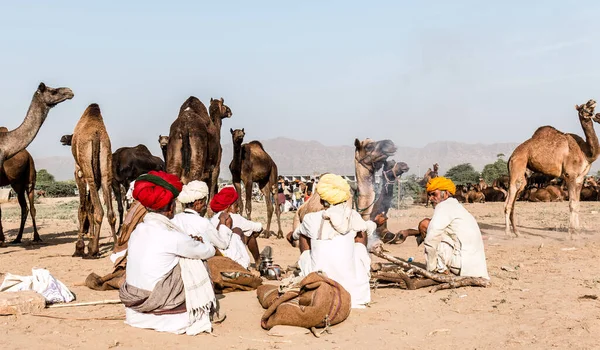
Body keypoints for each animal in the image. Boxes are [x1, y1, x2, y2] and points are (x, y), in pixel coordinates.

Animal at [71, 103, 117, 258]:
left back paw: (93, 251)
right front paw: (89, 243)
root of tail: (96, 134)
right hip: (105, 163)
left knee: (98, 211)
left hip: (88, 169)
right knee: (110, 213)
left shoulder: (78, 172)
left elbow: (83, 207)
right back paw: (116, 246)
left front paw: (79, 247)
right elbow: (89, 206)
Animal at [506, 100, 600, 239]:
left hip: (524, 175)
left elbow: (577, 204)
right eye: (583, 106)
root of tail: (511, 156)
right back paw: (507, 233)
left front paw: (577, 232)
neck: (585, 152)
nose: (592, 101)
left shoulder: (580, 178)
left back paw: (517, 233)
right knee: (510, 197)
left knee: (514, 199)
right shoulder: (570, 175)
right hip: (518, 165)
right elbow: (572, 204)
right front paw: (571, 234)